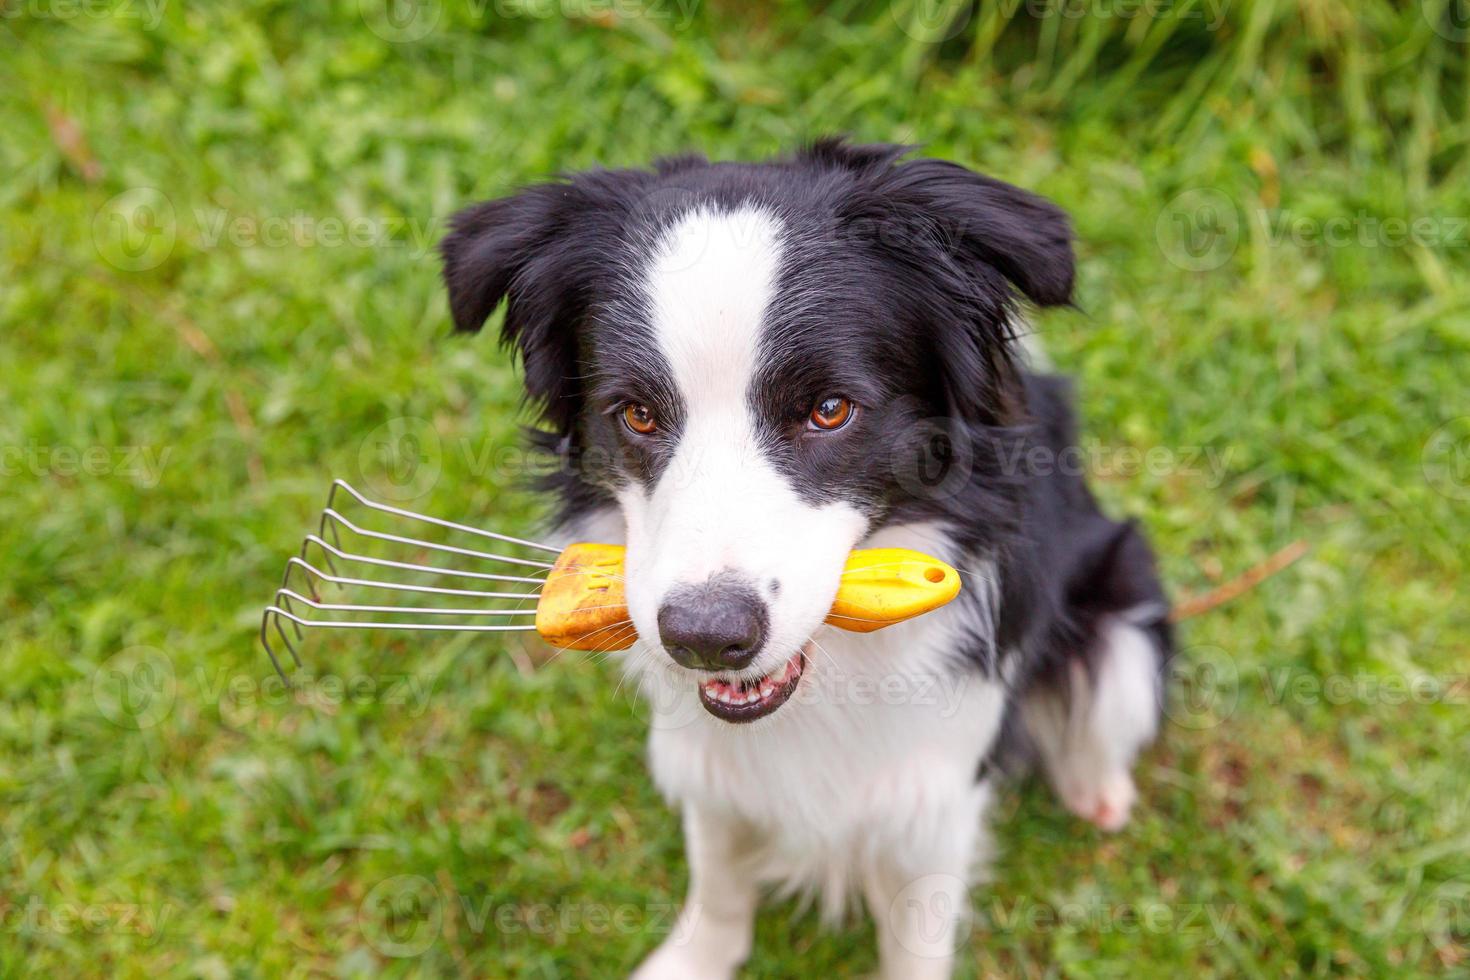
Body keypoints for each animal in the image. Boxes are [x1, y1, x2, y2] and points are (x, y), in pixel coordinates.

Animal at [441, 139, 1176, 980]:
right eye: (636, 414)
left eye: (830, 411)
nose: (705, 637)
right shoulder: (707, 758)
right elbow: (718, 866)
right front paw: (698, 957)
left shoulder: (935, 787)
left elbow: (915, 937)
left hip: (1121, 596)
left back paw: (1098, 789)